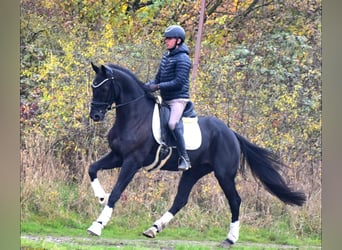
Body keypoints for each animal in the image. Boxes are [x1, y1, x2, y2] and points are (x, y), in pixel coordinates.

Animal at [87, 62, 306, 246]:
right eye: (93, 87)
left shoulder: (132, 161)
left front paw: (97, 225)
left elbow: (117, 191)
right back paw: (154, 228)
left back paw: (230, 239)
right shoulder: (118, 156)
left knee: (235, 201)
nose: (95, 116)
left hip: (224, 175)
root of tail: (231, 133)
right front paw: (100, 196)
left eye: (103, 88)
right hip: (193, 172)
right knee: (180, 200)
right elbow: (92, 169)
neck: (135, 116)